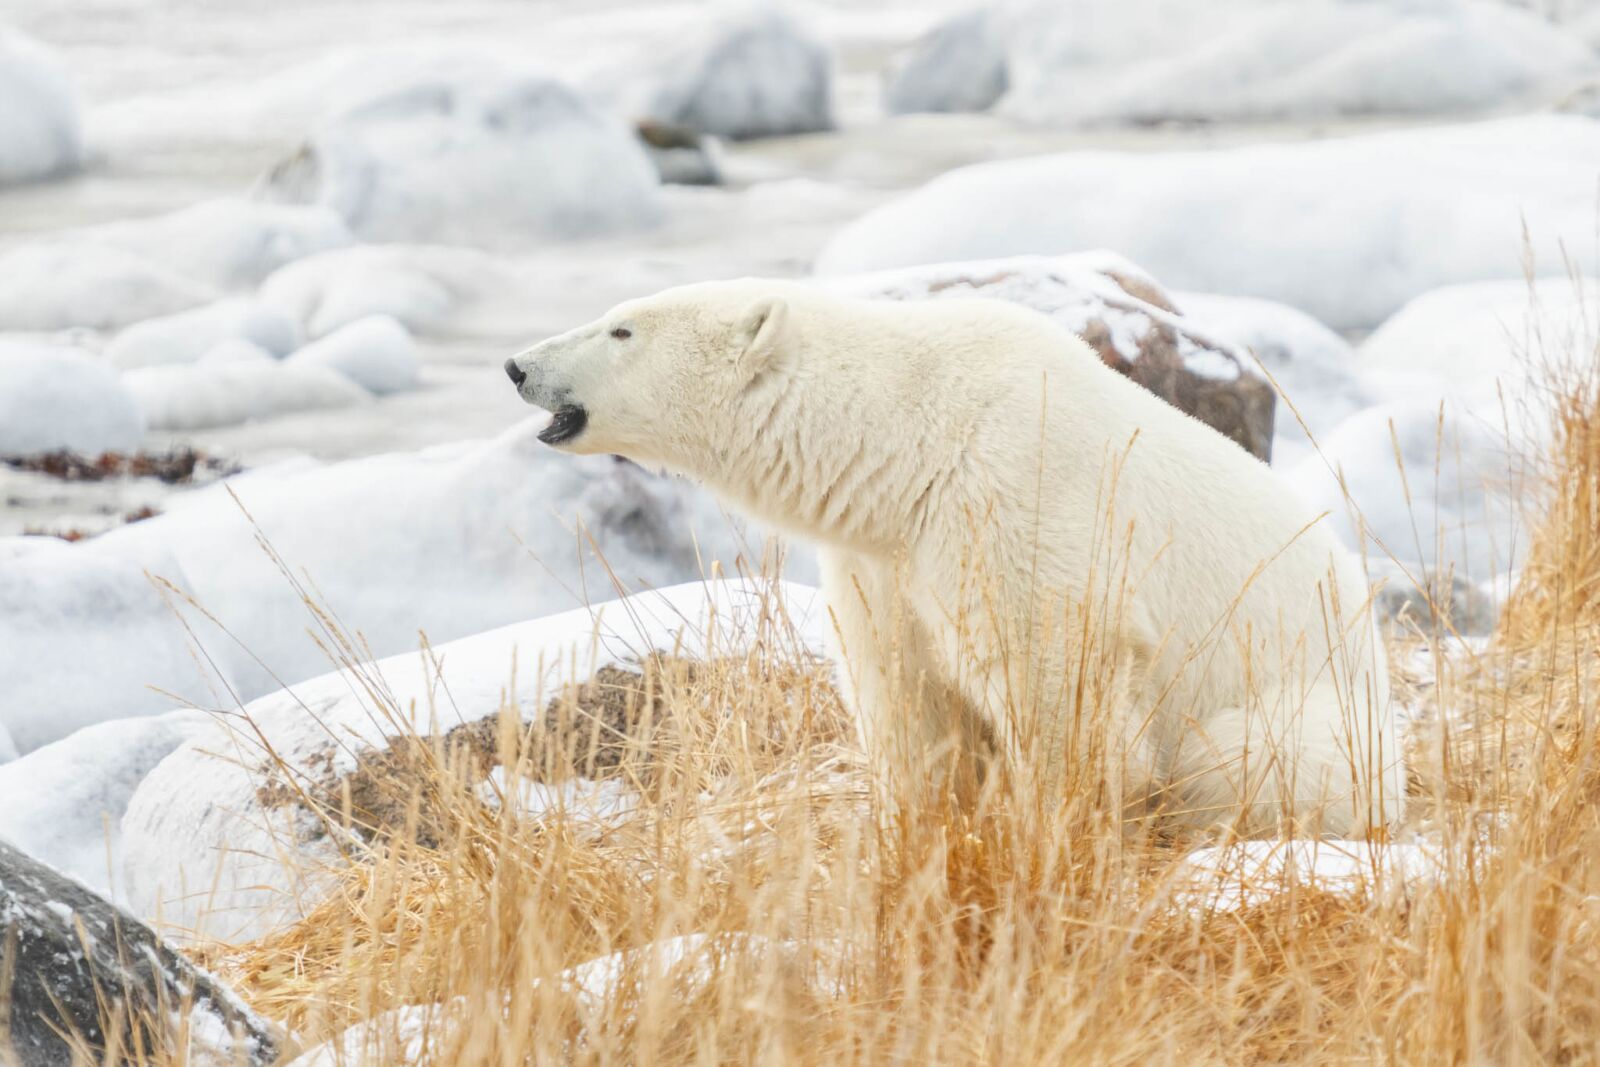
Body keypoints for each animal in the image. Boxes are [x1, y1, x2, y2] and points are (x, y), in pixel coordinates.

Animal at [505, 279, 1408, 838]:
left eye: (622, 327)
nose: (517, 364)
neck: (911, 439)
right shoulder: (883, 555)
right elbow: (911, 700)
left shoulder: (1016, 496)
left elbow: (1060, 682)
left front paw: (1054, 830)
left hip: (1314, 705)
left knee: (1260, 753)